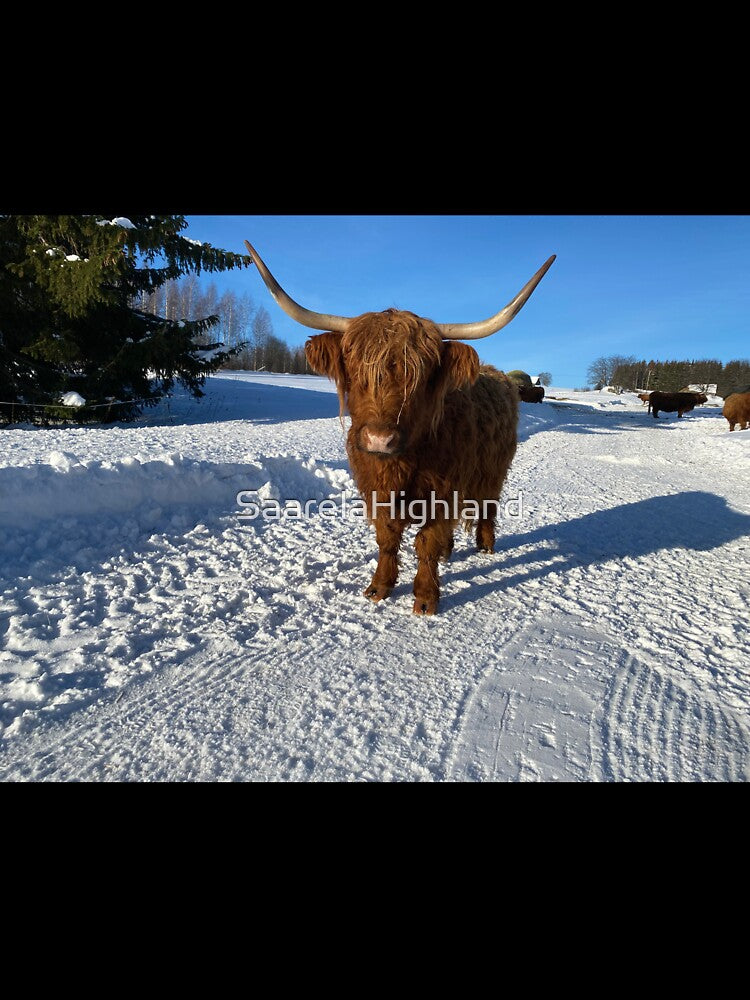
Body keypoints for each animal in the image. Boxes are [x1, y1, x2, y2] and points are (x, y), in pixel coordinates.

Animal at [243, 239, 556, 615]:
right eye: (356, 371)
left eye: (421, 376)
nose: (380, 439)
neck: (400, 465)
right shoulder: (377, 490)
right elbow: (388, 537)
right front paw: (379, 586)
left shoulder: (444, 491)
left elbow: (426, 541)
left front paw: (425, 598)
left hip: (494, 470)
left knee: (488, 505)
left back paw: (485, 545)